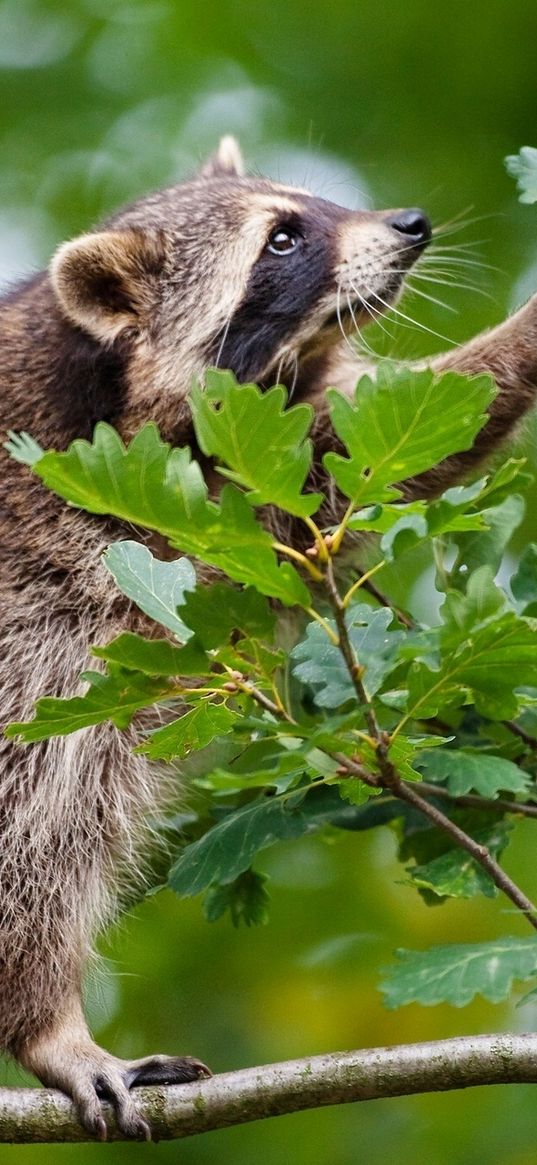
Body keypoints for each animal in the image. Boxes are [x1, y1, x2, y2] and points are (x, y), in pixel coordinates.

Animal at [1, 136, 535, 1137]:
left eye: (310, 205)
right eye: (282, 239)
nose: (409, 224)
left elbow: (396, 438)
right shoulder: (89, 531)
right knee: (45, 825)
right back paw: (45, 1019)